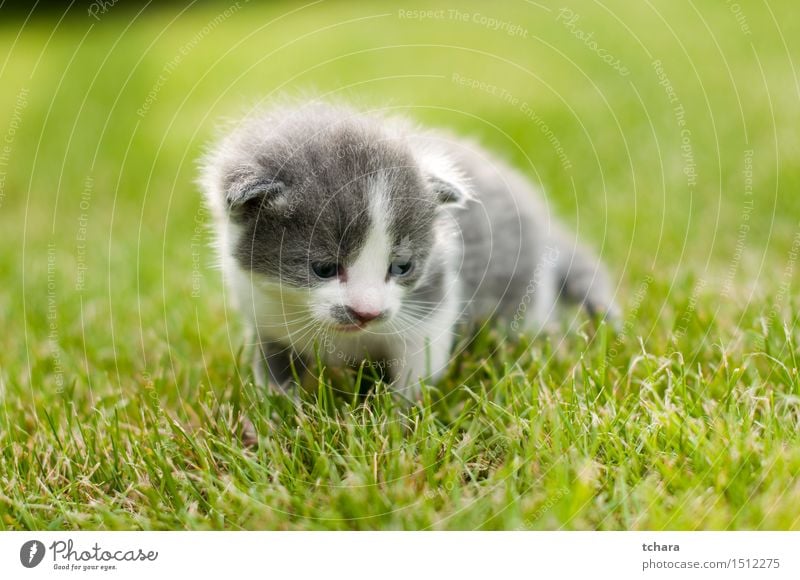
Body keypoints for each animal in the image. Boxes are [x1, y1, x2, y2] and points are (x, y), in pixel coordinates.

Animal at [200, 99, 620, 398]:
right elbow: (275, 371)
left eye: (401, 267)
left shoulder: (431, 303)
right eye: (323, 268)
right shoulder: (264, 314)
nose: (367, 313)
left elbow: (418, 365)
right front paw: (276, 413)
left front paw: (395, 420)